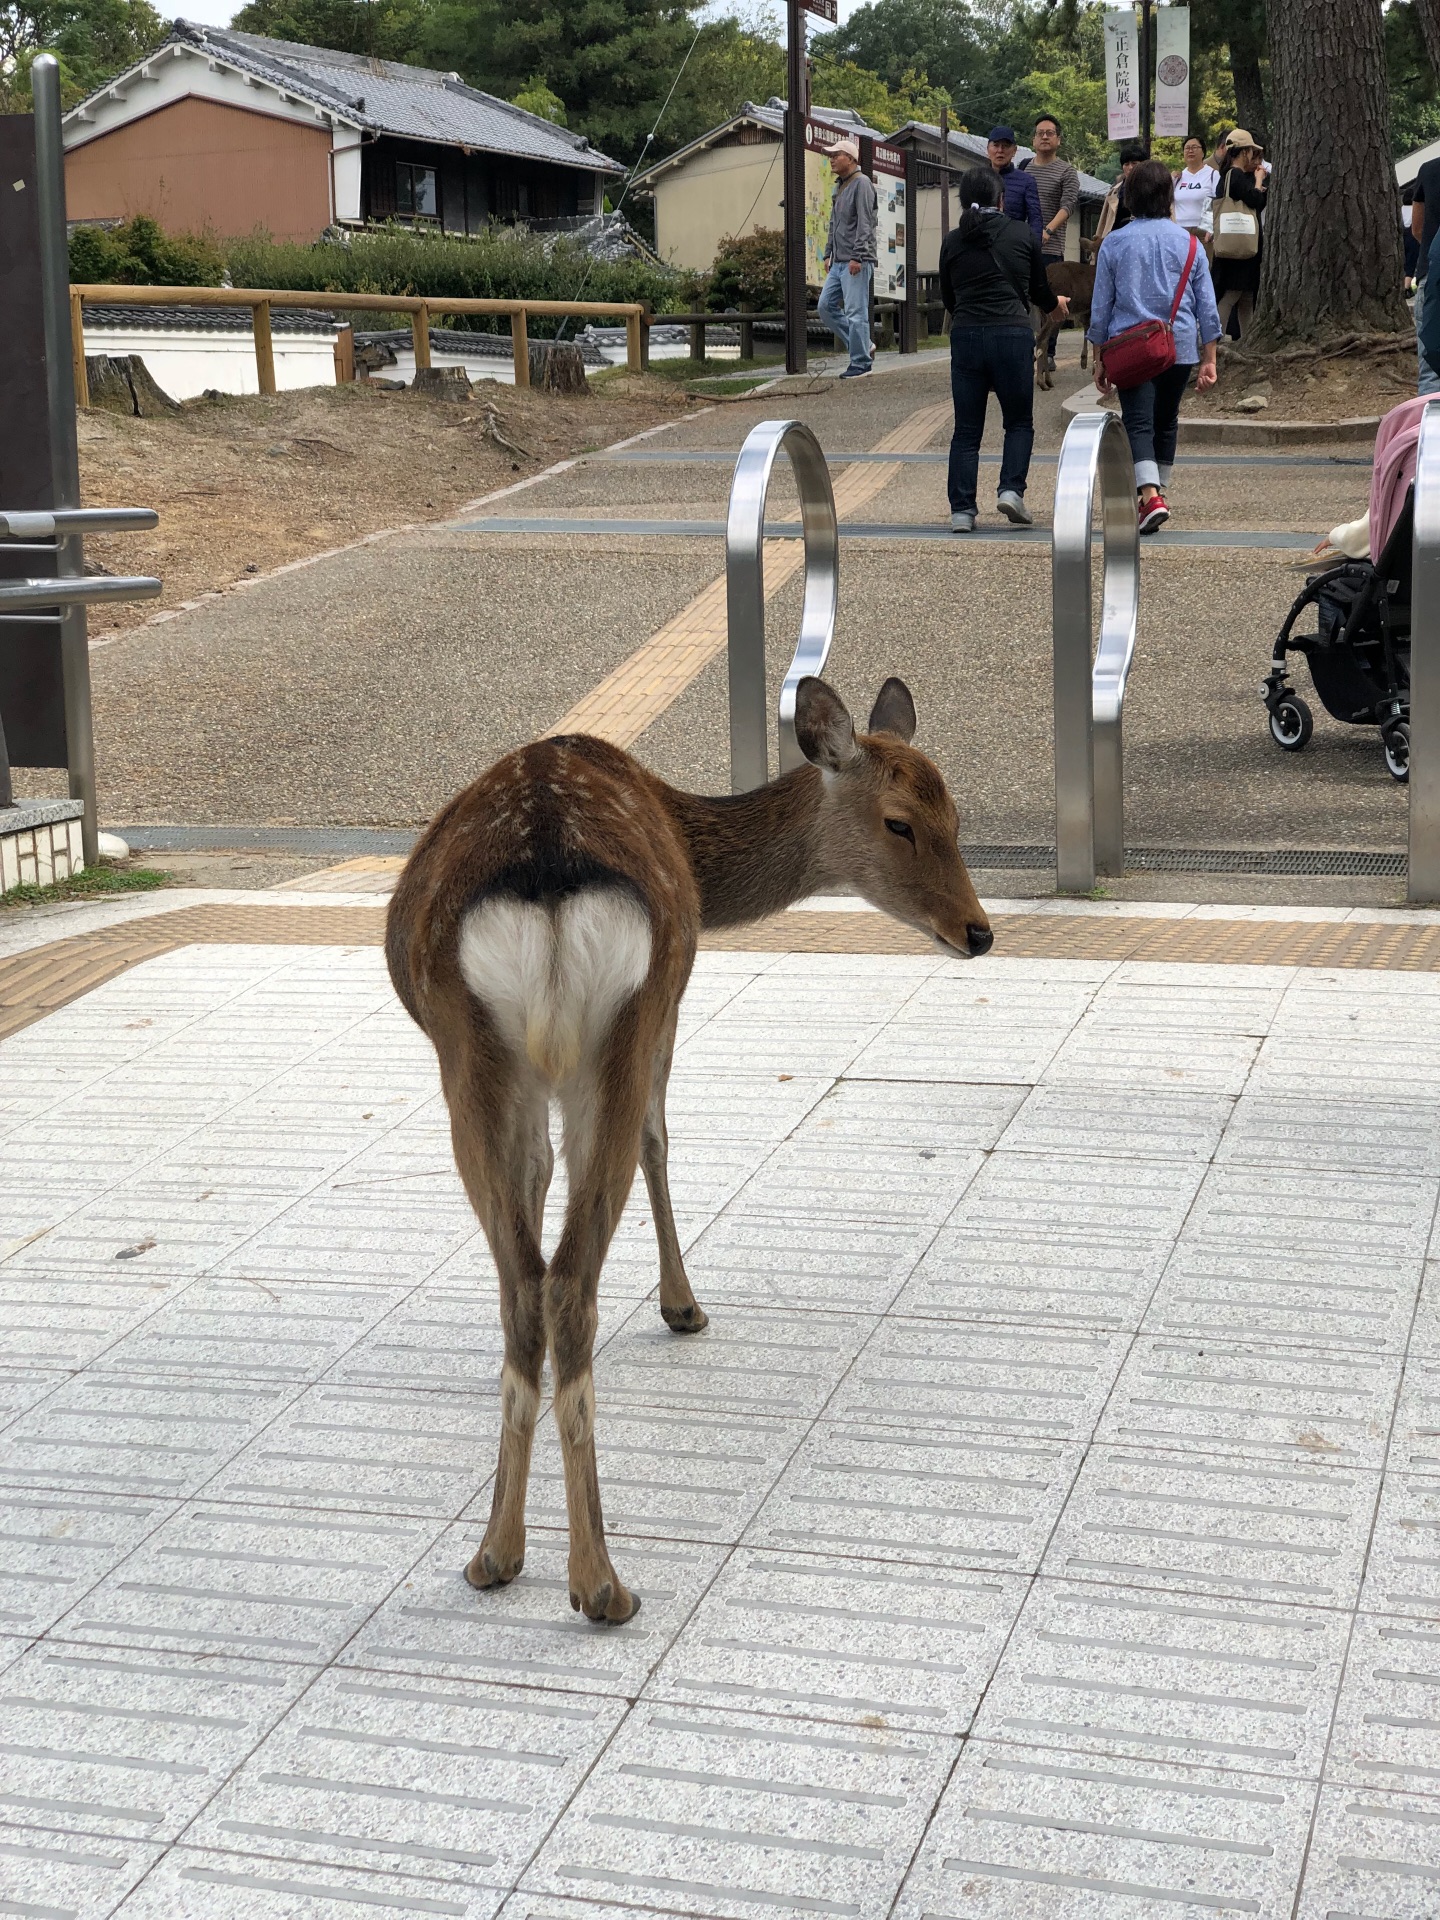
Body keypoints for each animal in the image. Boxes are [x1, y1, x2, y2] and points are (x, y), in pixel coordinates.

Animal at [384, 675, 990, 1620]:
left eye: (957, 813)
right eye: (900, 821)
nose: (979, 930)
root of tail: (547, 879)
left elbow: (545, 1186)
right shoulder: (671, 996)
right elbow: (660, 1138)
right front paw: (683, 1306)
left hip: (474, 1048)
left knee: (530, 1279)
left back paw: (501, 1554)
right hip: (621, 1020)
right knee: (573, 1266)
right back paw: (598, 1583)